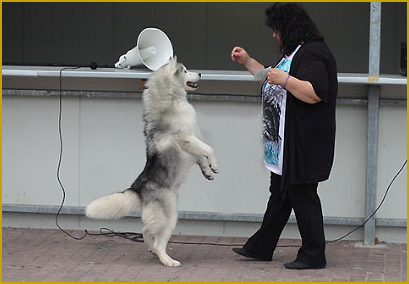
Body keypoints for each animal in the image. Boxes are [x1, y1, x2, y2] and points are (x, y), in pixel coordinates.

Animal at [85, 57, 218, 266]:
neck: (171, 99)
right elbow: (208, 149)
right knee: (158, 240)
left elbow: (201, 157)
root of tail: (137, 188)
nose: (200, 73)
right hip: (170, 216)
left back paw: (151, 249)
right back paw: (167, 260)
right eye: (185, 70)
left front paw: (207, 171)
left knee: (146, 230)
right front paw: (215, 165)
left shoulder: (191, 146)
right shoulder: (187, 139)